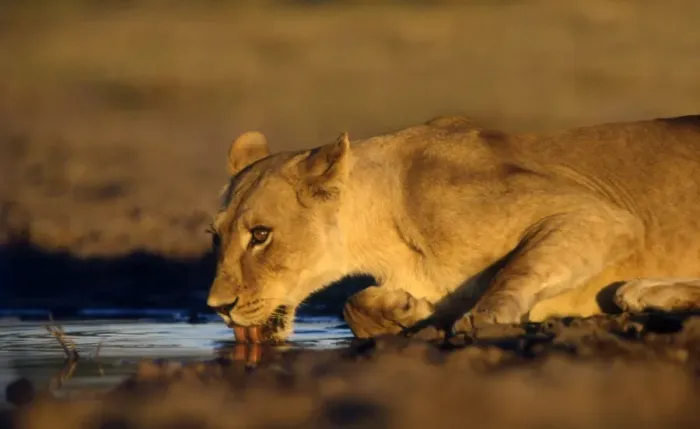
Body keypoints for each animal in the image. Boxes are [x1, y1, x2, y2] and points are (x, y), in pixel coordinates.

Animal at [206, 114, 700, 343]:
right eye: (216, 236)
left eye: (261, 235)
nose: (217, 307)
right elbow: (351, 305)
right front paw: (405, 310)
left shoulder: (604, 216)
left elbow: (517, 267)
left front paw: (485, 316)